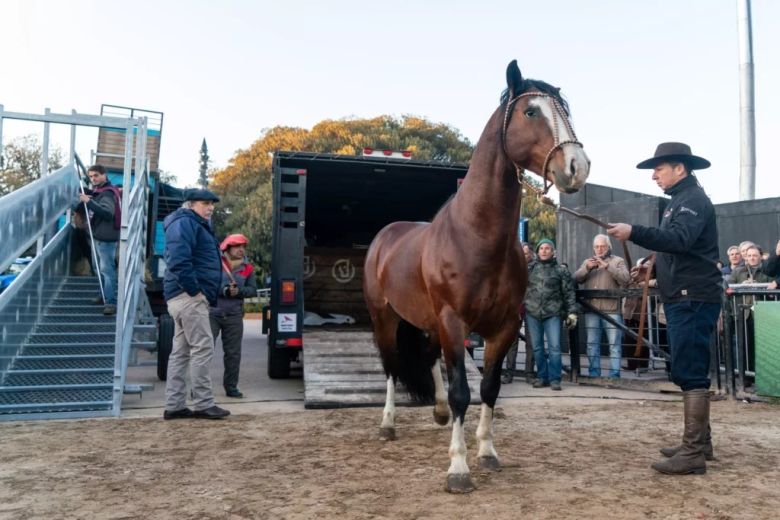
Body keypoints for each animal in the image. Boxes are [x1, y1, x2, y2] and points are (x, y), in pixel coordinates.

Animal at [362, 60, 588, 492]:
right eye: (530, 111)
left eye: (567, 112)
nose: (577, 167)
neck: (476, 236)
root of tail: (385, 236)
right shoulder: (455, 321)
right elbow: (462, 394)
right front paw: (458, 469)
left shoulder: (504, 326)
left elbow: (488, 388)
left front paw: (486, 452)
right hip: (385, 317)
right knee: (392, 366)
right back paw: (387, 424)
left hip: (429, 322)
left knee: (429, 359)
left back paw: (436, 412)